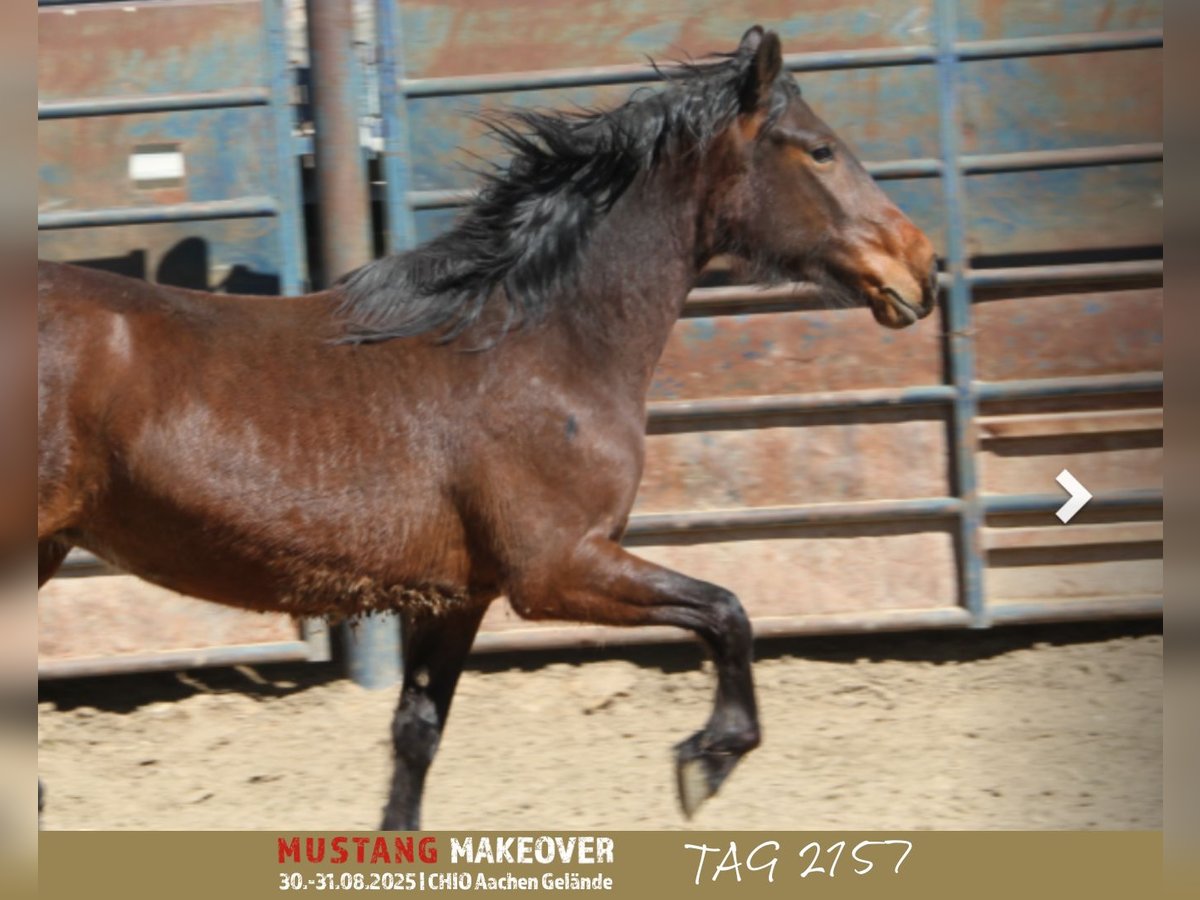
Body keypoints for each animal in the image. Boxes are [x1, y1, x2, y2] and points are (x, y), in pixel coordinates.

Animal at [35, 26, 936, 830]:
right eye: (818, 151)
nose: (919, 268)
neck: (534, 344)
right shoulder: (557, 569)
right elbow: (727, 610)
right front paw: (706, 760)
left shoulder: (459, 596)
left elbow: (416, 736)